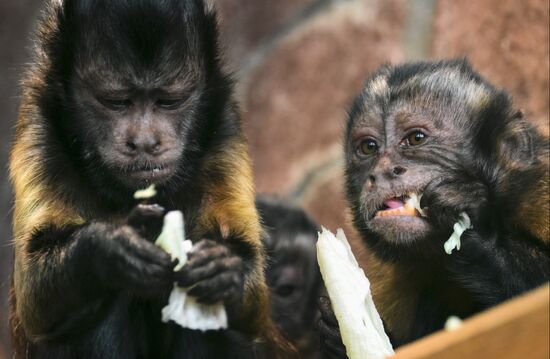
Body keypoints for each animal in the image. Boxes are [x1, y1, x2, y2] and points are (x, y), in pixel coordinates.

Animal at [9, 0, 288, 359]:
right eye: (116, 102)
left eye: (168, 101)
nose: (144, 142)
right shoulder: (39, 128)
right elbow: (35, 299)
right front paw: (110, 246)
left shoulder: (225, 126)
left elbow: (253, 302)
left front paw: (225, 270)